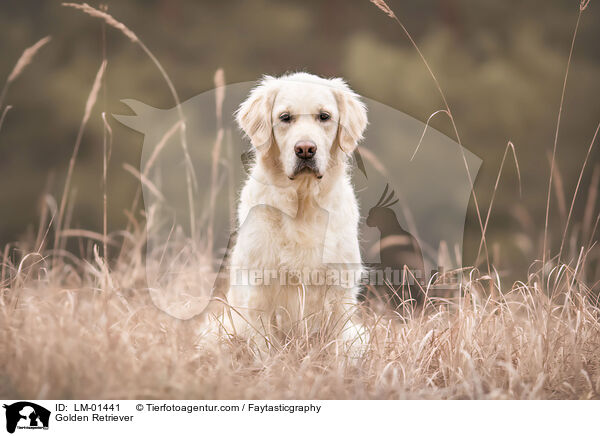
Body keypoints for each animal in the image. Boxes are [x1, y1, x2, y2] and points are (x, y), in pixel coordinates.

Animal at [213, 72, 368, 354]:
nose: (305, 149)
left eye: (324, 116)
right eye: (285, 117)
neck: (303, 203)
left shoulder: (340, 290)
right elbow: (264, 347)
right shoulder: (259, 289)